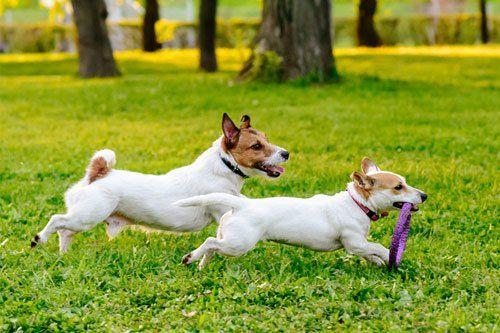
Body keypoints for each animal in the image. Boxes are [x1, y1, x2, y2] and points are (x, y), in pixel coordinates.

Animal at [30, 113, 290, 252]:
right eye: (256, 146)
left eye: (266, 139)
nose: (286, 153)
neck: (223, 166)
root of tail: (98, 173)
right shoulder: (221, 210)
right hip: (87, 215)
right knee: (57, 220)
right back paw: (39, 239)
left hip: (82, 218)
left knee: (65, 231)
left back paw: (63, 254)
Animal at [175, 157, 426, 268]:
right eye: (398, 187)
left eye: (404, 182)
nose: (424, 196)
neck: (356, 203)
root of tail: (242, 205)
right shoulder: (354, 242)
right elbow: (377, 247)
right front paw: (388, 258)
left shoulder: (359, 245)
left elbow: (370, 252)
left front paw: (379, 263)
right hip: (239, 244)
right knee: (209, 242)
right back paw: (191, 258)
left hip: (229, 238)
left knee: (213, 245)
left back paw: (201, 264)